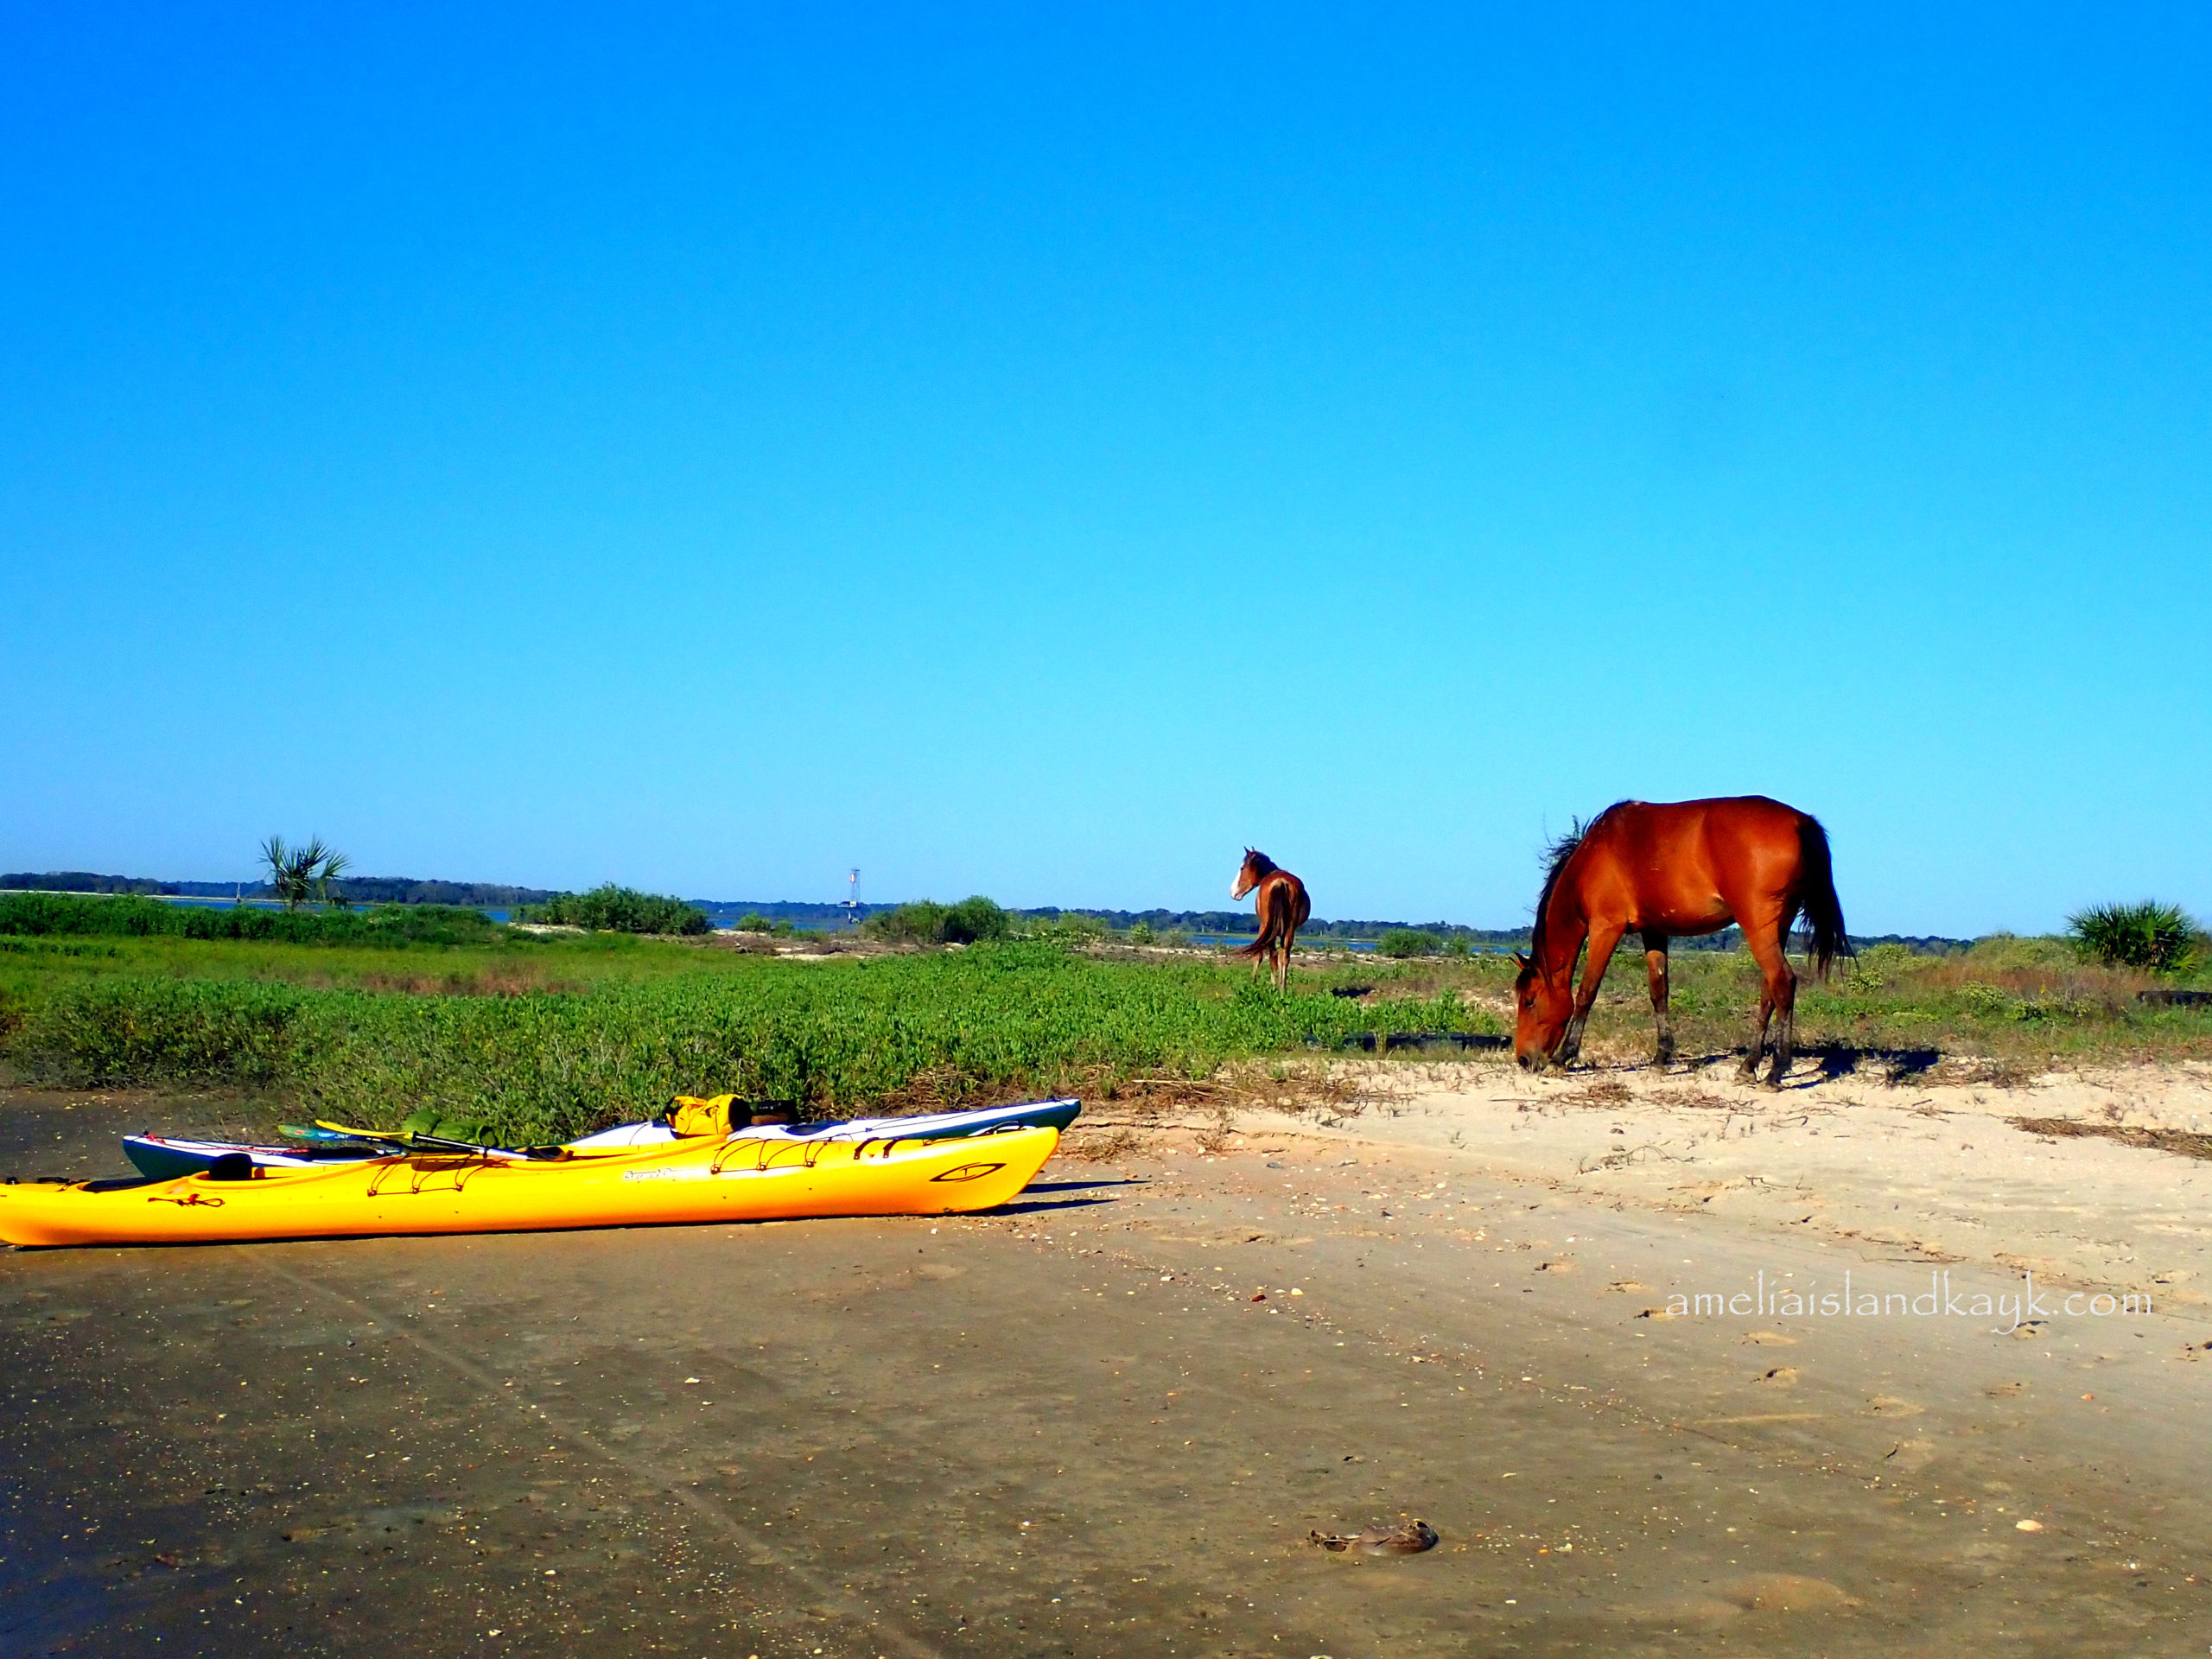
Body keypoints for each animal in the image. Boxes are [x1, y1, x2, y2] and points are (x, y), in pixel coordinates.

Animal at [1238, 849, 1300, 995]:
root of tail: (1281, 882)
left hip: (1267, 926)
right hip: (1288, 929)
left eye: (1242, 868)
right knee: (1284, 957)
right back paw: (1282, 988)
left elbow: (1262, 954)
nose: (1234, 893)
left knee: (1268, 954)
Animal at [1522, 800, 1849, 1092]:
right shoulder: (1654, 931)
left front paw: (1563, 1057)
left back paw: (1776, 1071)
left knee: (1783, 982)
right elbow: (1659, 991)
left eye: (1529, 1000)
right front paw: (1661, 1057)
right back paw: (1749, 1066)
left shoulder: (1605, 927)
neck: (1597, 852)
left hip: (1758, 925)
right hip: (1778, 926)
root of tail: (1801, 821)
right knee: (1769, 990)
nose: (1524, 1060)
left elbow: (1587, 992)